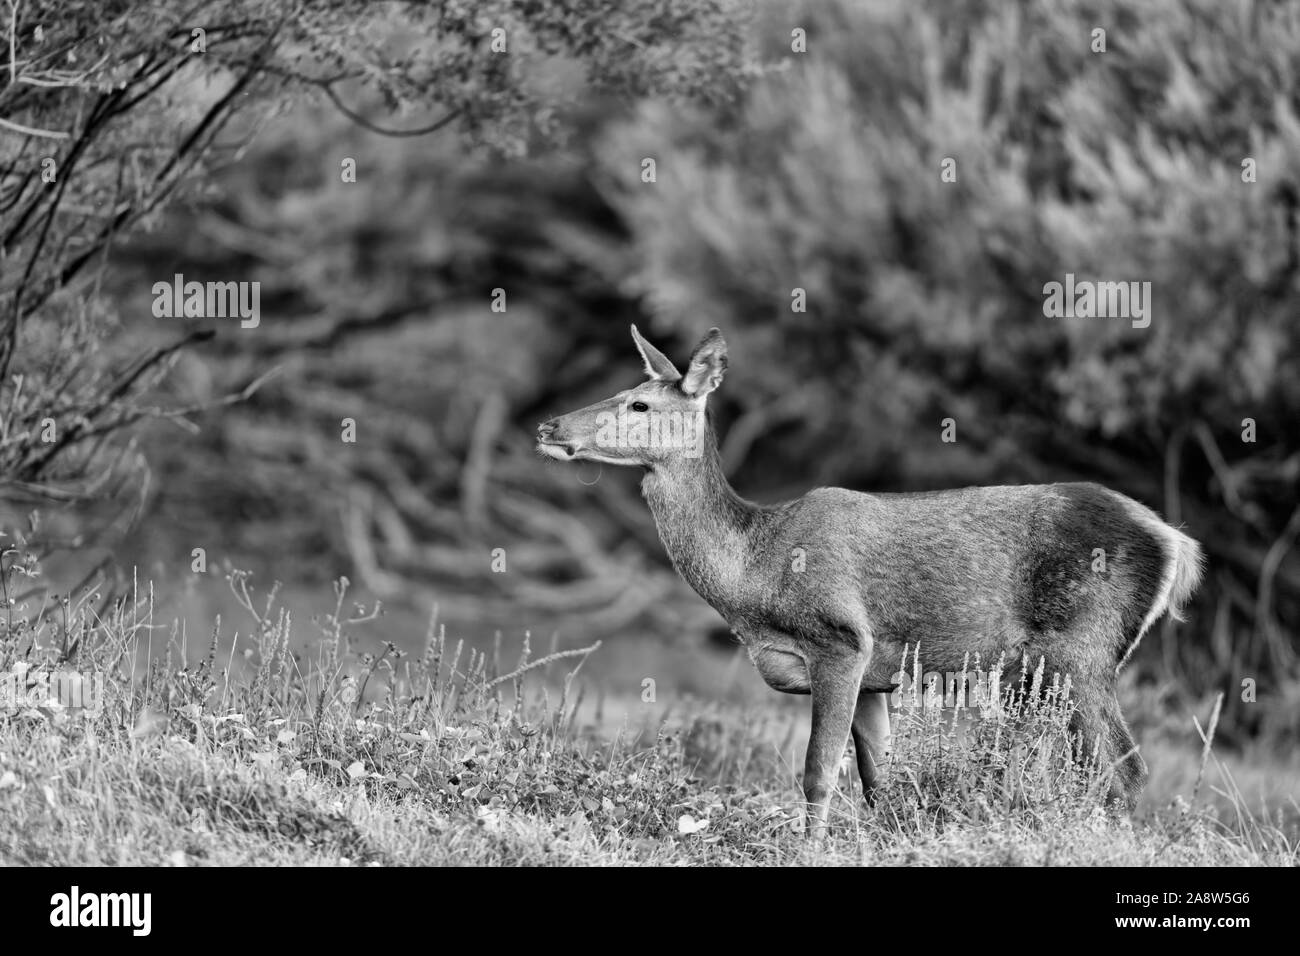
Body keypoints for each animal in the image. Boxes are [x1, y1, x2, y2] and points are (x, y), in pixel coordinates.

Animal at [533, 325, 1201, 832]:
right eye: (623, 389)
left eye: (639, 405)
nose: (548, 427)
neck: (752, 568)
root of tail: (1176, 541)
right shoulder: (878, 674)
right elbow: (880, 782)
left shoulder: (840, 639)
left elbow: (817, 773)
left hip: (1081, 649)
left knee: (1125, 771)